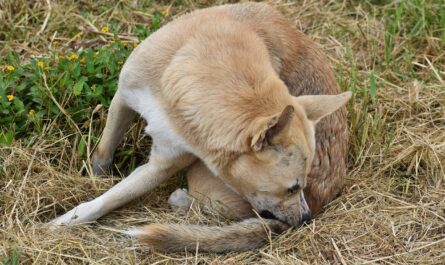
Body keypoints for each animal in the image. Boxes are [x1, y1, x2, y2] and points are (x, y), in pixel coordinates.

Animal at [50, 3, 350, 253]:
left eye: (300, 186)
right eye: (292, 188)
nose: (307, 220)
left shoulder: (162, 166)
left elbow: (110, 199)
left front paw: (65, 221)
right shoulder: (123, 98)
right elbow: (104, 152)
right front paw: (94, 179)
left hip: (201, 179)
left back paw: (182, 200)